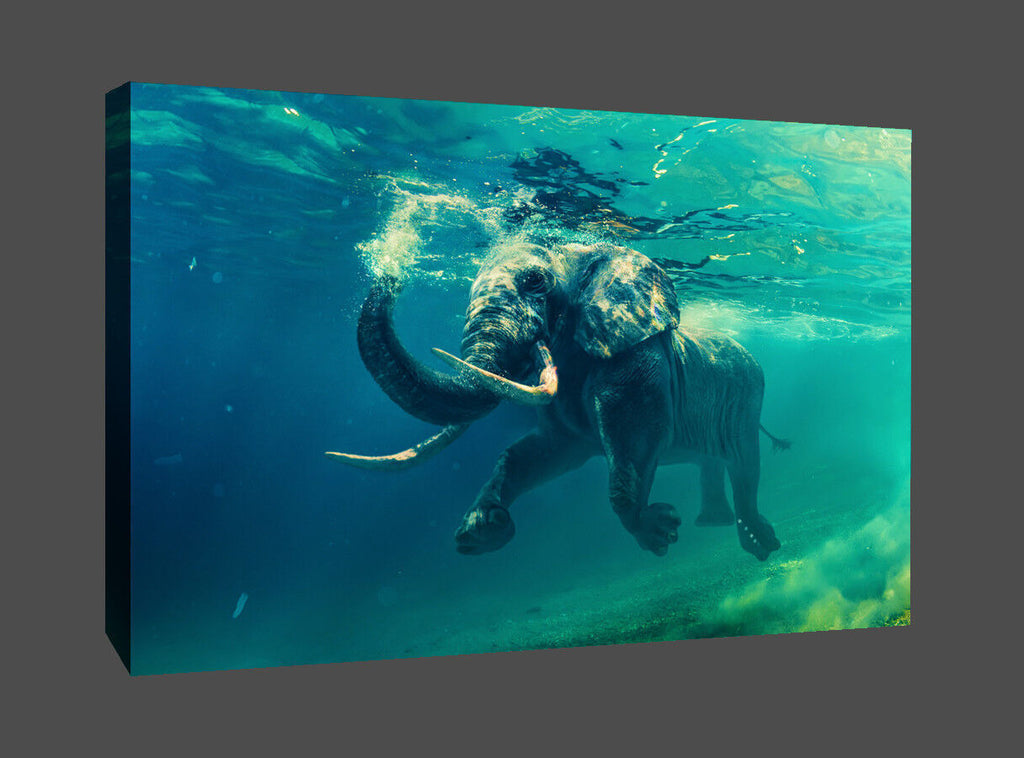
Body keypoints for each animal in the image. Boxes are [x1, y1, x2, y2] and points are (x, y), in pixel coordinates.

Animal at [326, 241, 788, 561]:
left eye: (535, 281)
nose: (391, 274)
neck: (581, 253)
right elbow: (537, 453)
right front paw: (481, 530)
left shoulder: (636, 357)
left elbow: (635, 437)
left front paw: (659, 532)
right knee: (713, 462)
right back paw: (714, 524)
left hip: (749, 398)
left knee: (745, 465)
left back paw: (759, 544)